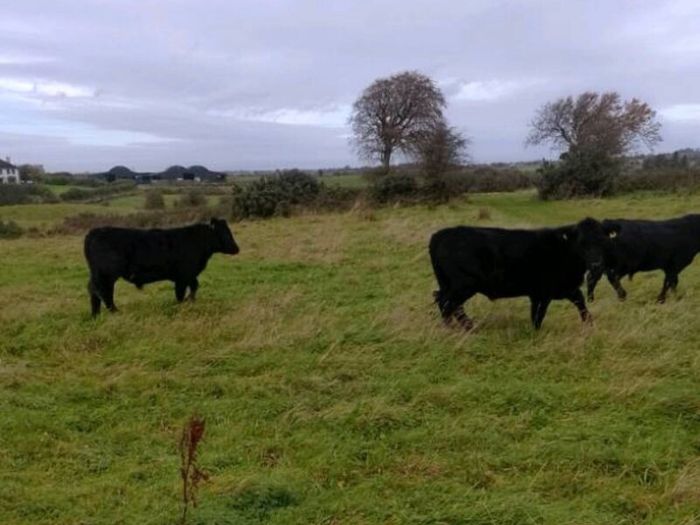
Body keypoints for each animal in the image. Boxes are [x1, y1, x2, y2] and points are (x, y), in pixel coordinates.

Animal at [84, 218, 239, 316]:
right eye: (225, 233)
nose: (236, 248)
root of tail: (95, 232)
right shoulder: (183, 275)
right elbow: (181, 292)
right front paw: (183, 303)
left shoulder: (189, 275)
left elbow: (194, 286)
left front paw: (190, 301)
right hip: (106, 274)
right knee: (104, 292)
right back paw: (115, 312)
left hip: (97, 275)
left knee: (94, 291)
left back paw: (95, 314)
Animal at [429, 218, 611, 330]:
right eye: (581, 243)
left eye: (603, 241)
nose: (596, 264)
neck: (564, 250)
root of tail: (439, 235)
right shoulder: (544, 293)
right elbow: (538, 316)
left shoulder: (563, 289)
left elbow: (581, 303)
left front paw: (590, 325)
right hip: (463, 285)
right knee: (447, 304)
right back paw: (454, 329)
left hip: (449, 284)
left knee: (450, 304)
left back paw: (467, 327)